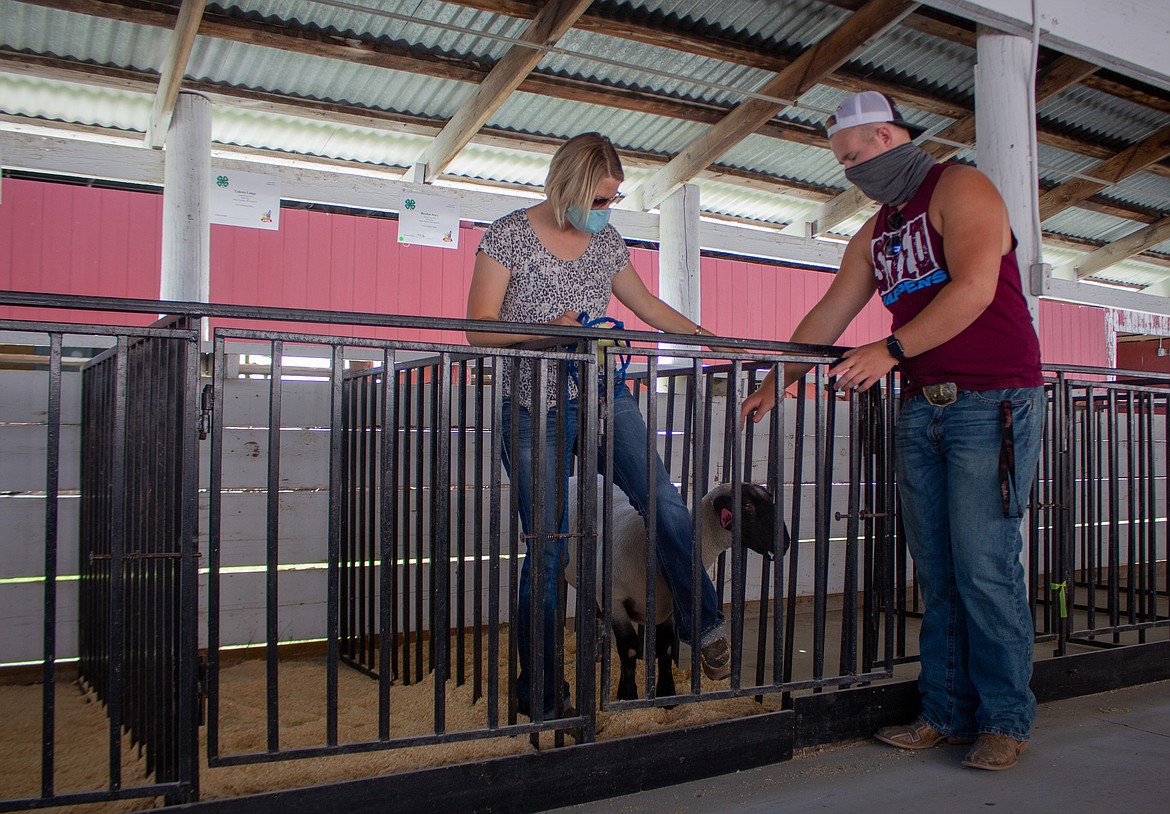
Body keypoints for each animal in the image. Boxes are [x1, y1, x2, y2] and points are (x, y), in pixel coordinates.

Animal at [563, 474, 790, 701]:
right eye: (747, 506)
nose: (786, 543)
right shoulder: (616, 601)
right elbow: (629, 649)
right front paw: (627, 695)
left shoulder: (670, 608)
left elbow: (666, 648)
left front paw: (667, 694)